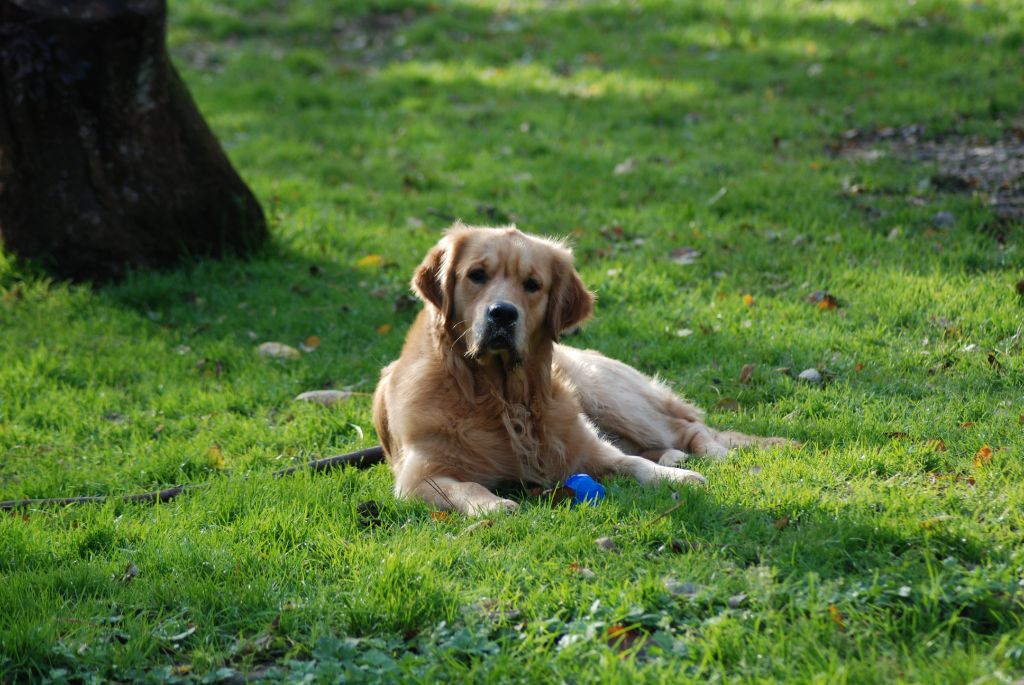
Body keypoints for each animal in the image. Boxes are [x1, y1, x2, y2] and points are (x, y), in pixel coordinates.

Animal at [376, 224, 790, 511]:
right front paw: (491, 505)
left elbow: (632, 463)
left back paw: (706, 452)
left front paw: (677, 477)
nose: (502, 314)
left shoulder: (586, 448)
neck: (505, 400)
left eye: (532, 284)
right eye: (476, 275)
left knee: (687, 427)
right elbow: (466, 486)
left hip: (605, 396)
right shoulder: (420, 477)